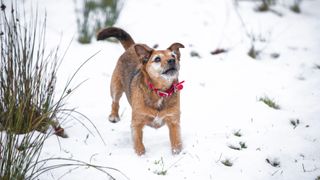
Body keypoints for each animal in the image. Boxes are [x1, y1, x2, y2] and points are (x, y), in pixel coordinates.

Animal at [96, 27, 184, 155]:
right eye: (157, 59)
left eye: (173, 55)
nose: (172, 60)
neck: (159, 91)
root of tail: (132, 47)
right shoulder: (136, 123)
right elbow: (138, 141)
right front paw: (140, 153)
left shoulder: (174, 122)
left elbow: (176, 141)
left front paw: (177, 152)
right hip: (115, 88)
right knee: (115, 102)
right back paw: (114, 116)